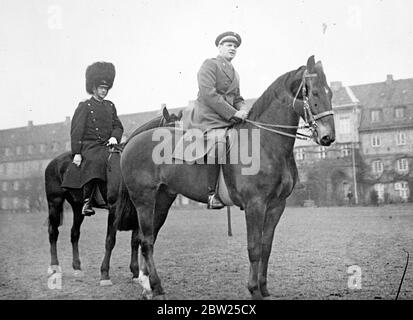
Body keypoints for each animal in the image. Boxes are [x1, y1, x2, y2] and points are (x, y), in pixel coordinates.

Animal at [43, 106, 182, 284]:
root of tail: (54, 162)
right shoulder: (116, 207)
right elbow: (110, 240)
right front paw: (104, 274)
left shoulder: (137, 208)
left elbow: (135, 240)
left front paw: (135, 272)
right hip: (54, 202)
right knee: (53, 233)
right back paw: (54, 267)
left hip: (76, 206)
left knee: (74, 233)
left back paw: (77, 268)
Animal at [114, 55, 334, 300]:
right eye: (314, 93)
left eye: (331, 93)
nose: (328, 137)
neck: (264, 143)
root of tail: (130, 143)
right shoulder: (255, 205)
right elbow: (254, 248)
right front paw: (254, 289)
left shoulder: (277, 206)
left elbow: (266, 247)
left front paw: (264, 288)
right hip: (143, 201)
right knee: (145, 241)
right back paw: (153, 285)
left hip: (162, 200)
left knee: (148, 239)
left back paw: (154, 285)